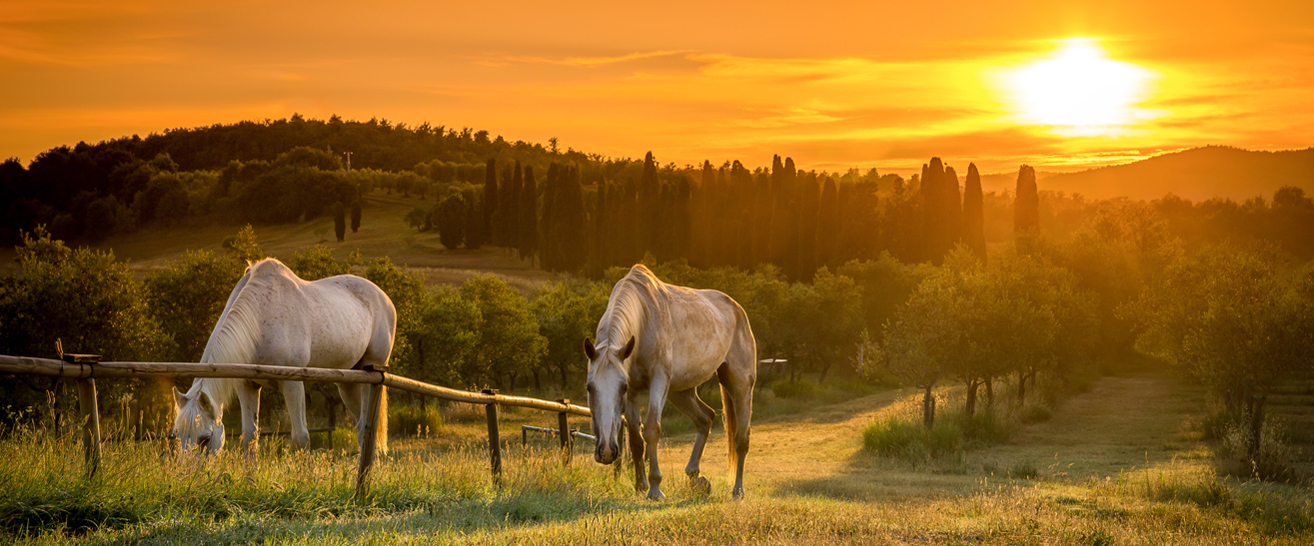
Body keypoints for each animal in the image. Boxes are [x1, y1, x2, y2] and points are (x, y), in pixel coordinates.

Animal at [172, 258, 391, 456]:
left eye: (205, 439)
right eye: (176, 436)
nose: (188, 475)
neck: (259, 319)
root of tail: (384, 298)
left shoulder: (293, 384)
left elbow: (301, 437)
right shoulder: (246, 385)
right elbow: (250, 438)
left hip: (370, 377)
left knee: (367, 428)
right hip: (347, 383)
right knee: (362, 427)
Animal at [588, 265, 762, 498]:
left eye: (621, 387)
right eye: (590, 388)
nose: (606, 451)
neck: (643, 319)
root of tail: (738, 309)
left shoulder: (658, 379)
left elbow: (652, 429)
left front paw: (655, 488)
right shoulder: (634, 390)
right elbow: (635, 440)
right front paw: (640, 486)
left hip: (740, 384)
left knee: (741, 439)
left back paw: (737, 491)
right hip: (680, 392)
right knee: (705, 418)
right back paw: (695, 476)